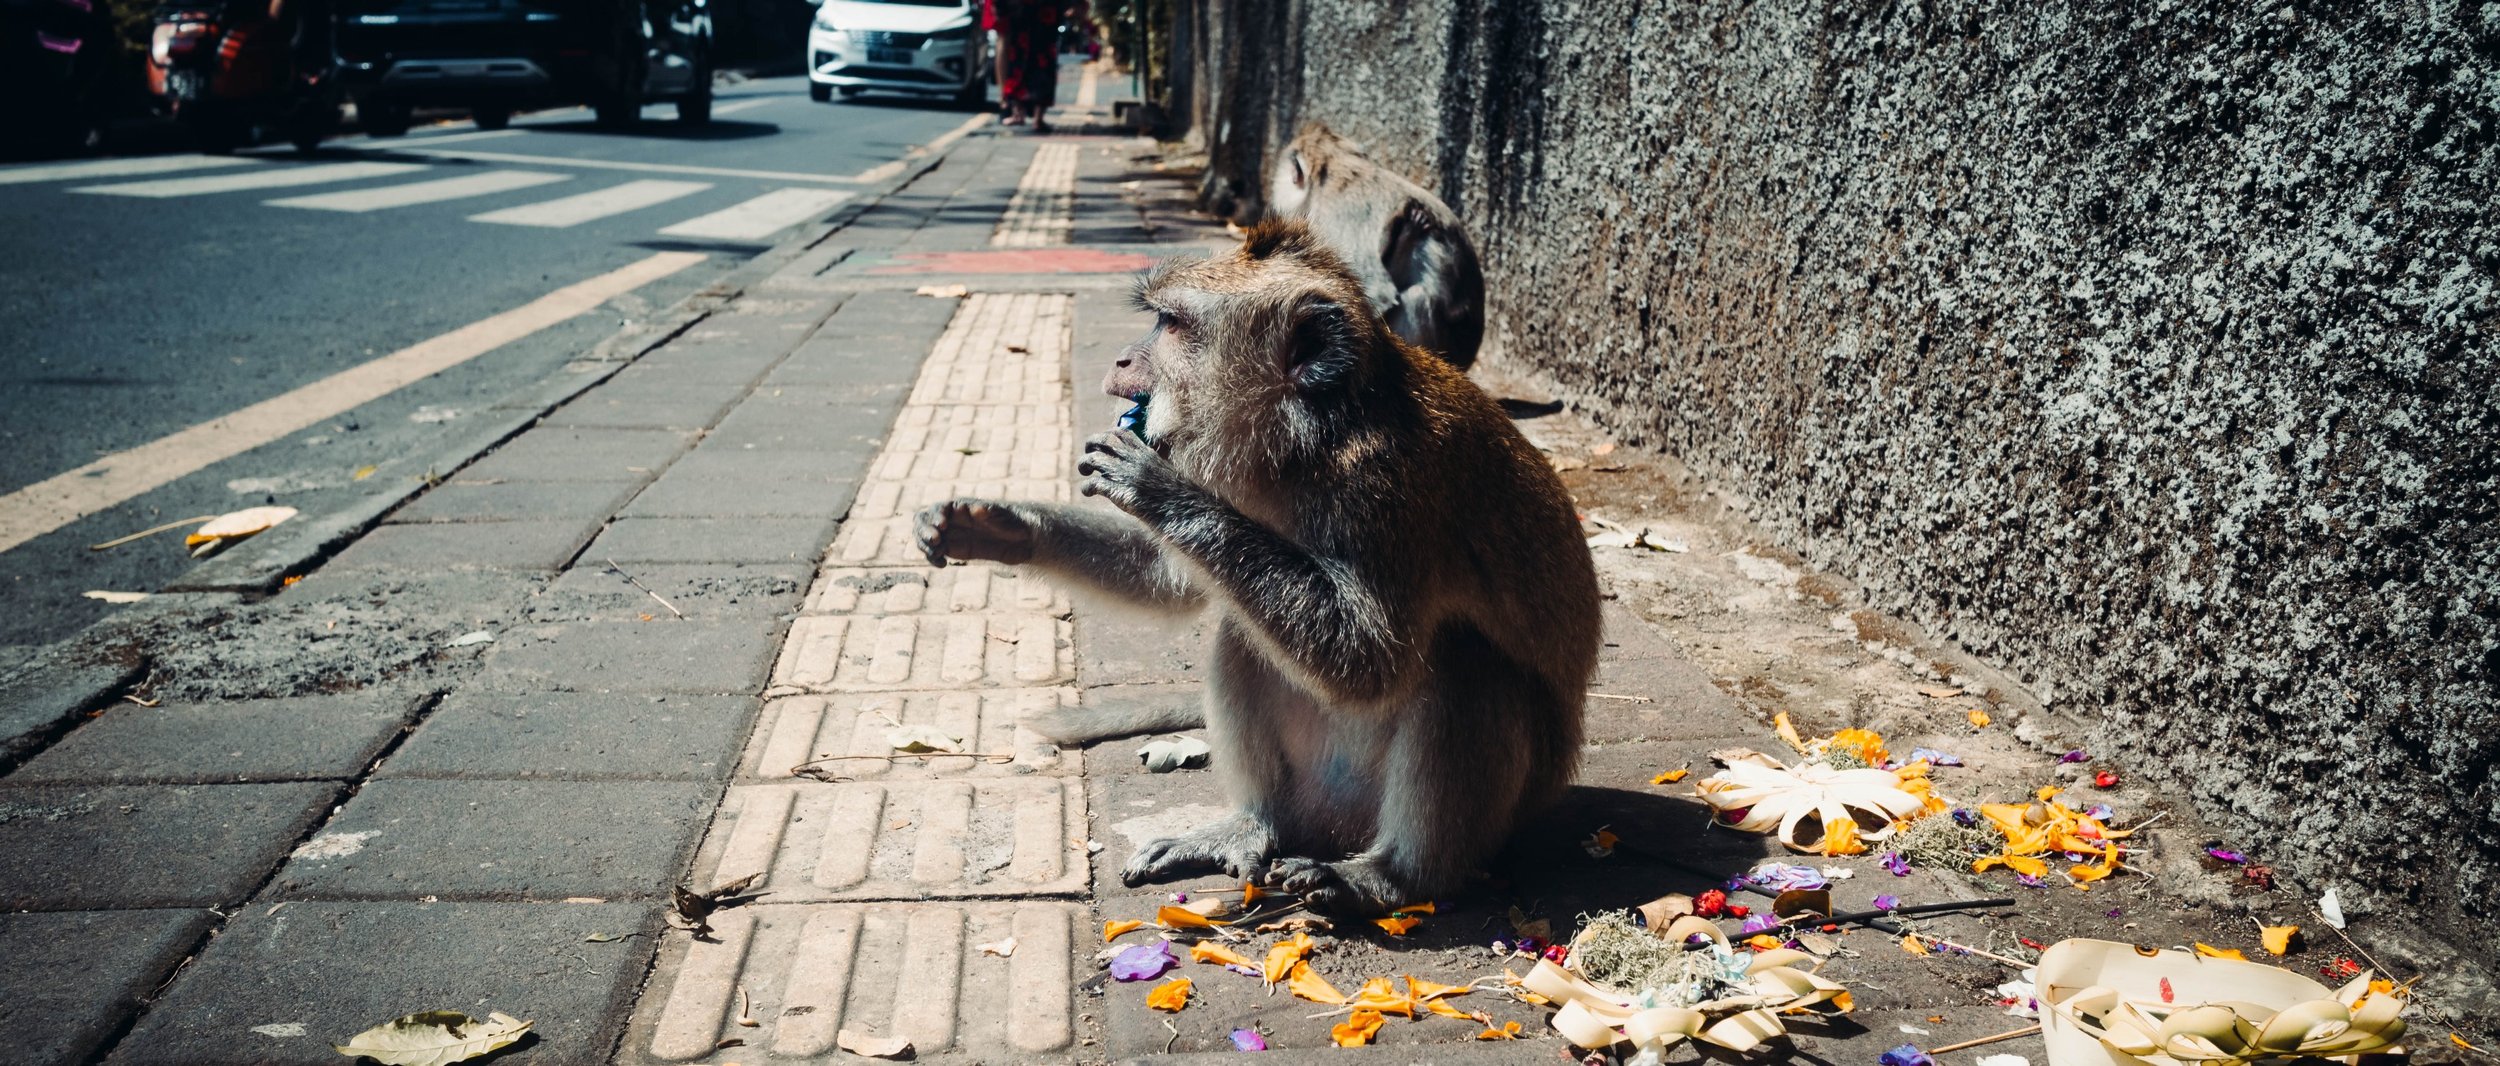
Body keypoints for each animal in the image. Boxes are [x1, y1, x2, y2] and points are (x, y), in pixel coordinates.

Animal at [912, 220, 1598, 911]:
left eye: (1170, 324)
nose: (1124, 358)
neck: (1309, 438)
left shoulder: (1385, 489)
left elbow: (1370, 660)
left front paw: (1151, 486)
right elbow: (1171, 578)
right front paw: (997, 527)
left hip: (1489, 809)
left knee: (1465, 658)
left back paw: (1393, 877)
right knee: (1242, 630)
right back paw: (1256, 825)